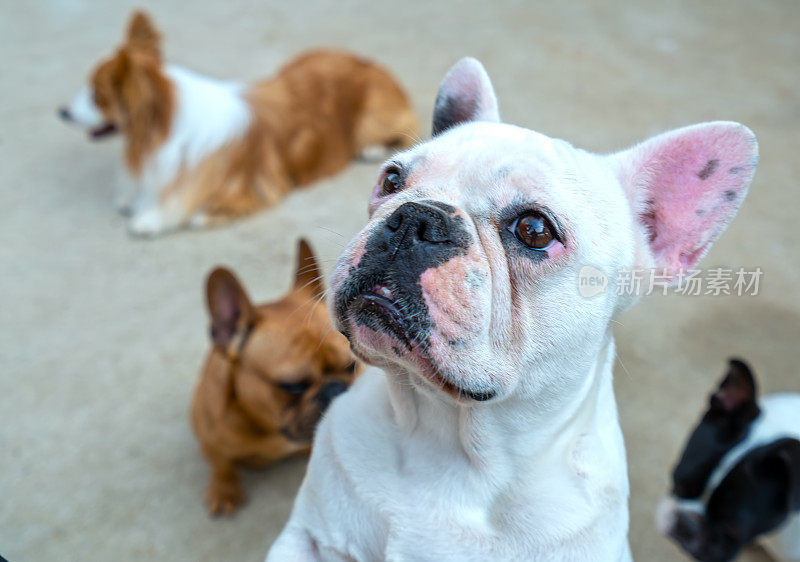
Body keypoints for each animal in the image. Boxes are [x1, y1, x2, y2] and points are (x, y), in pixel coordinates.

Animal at [57, 11, 418, 234]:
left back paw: (372, 149)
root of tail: (372, 63)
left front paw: (152, 219)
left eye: (97, 95)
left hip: (371, 118)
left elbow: (187, 209)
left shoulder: (252, 192)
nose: (62, 111)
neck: (162, 128)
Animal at [191, 238, 360, 516]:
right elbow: (221, 463)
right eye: (292, 385)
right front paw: (224, 490)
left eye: (351, 366)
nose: (336, 390)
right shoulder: (210, 439)